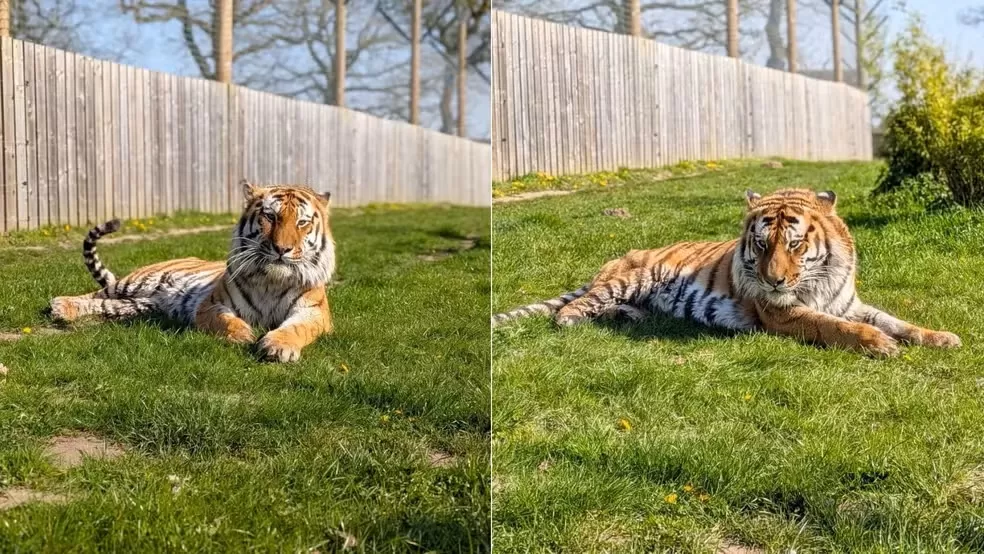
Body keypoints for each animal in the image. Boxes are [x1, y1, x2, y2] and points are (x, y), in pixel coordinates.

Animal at [49, 180, 336, 363]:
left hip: (139, 305)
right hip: (136, 282)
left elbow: (296, 329)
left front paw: (278, 346)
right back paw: (60, 305)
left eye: (302, 222)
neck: (272, 281)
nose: (282, 249)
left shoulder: (313, 312)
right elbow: (226, 321)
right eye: (270, 216)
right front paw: (242, 335)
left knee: (105, 305)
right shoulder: (211, 305)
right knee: (96, 294)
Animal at [492, 188, 961, 357]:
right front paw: (879, 344)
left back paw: (635, 317)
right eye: (762, 244)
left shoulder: (850, 303)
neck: (820, 277)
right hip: (630, 278)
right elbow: (834, 327)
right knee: (577, 308)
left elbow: (896, 321)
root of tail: (616, 259)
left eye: (794, 244)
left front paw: (942, 338)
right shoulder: (782, 313)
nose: (773, 280)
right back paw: (573, 320)